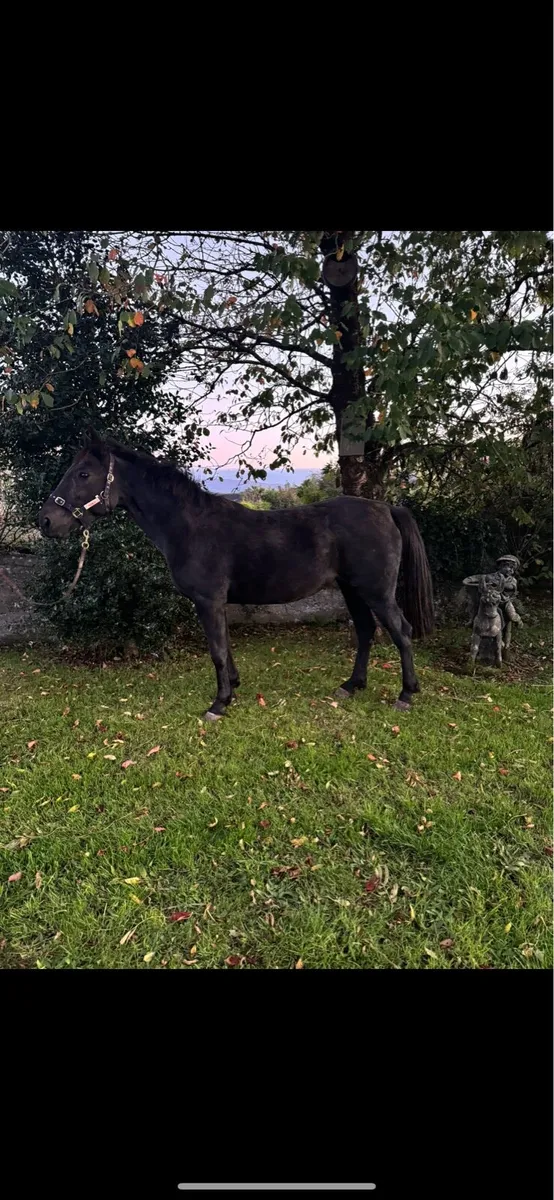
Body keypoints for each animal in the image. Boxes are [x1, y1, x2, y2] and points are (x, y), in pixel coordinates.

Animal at [38, 430, 434, 721]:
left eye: (83, 474)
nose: (45, 521)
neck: (190, 525)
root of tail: (385, 508)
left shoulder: (208, 601)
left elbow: (216, 649)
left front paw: (218, 704)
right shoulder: (217, 603)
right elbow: (225, 646)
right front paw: (233, 688)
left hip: (376, 591)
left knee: (401, 632)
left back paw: (405, 694)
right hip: (352, 590)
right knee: (366, 631)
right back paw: (351, 685)